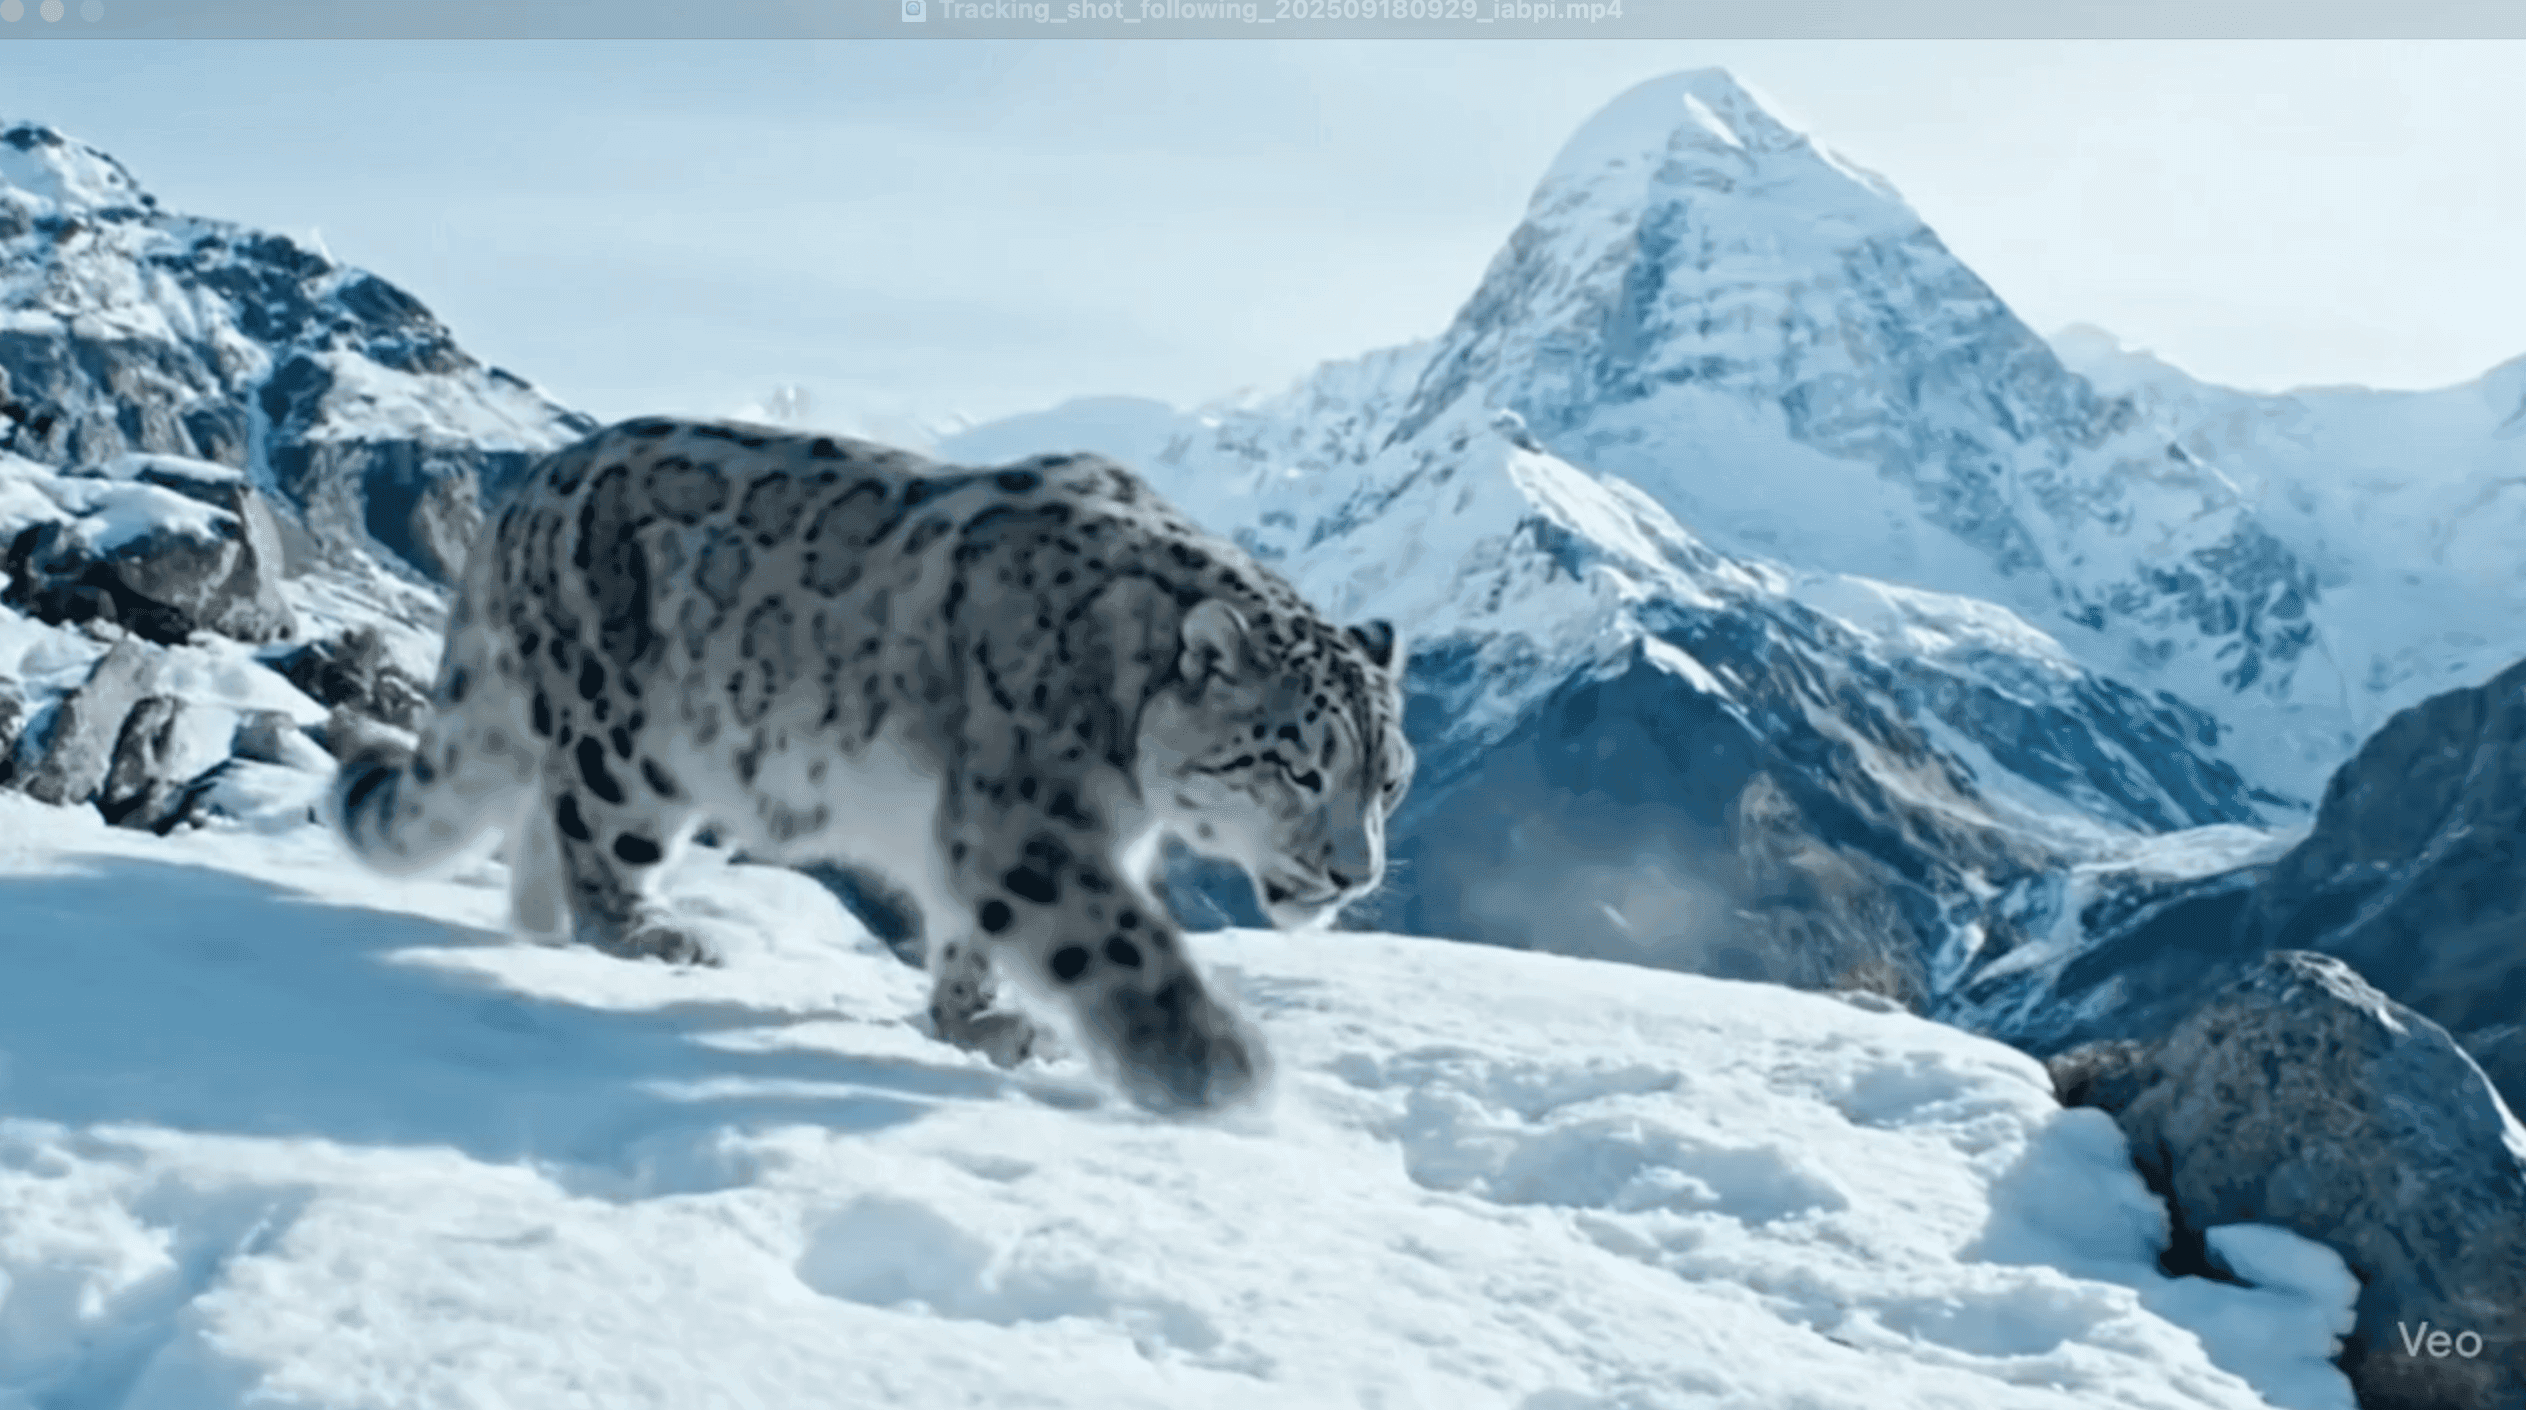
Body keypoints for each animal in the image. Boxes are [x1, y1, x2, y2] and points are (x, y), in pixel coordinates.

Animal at [329, 416, 1414, 1114]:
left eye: (1390, 778)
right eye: (1301, 769)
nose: (1355, 874)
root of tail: (522, 496)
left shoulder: (999, 837)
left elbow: (971, 935)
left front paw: (979, 1022)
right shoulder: (1028, 825)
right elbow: (1116, 943)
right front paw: (1224, 1072)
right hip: (625, 738)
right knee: (593, 835)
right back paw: (649, 933)